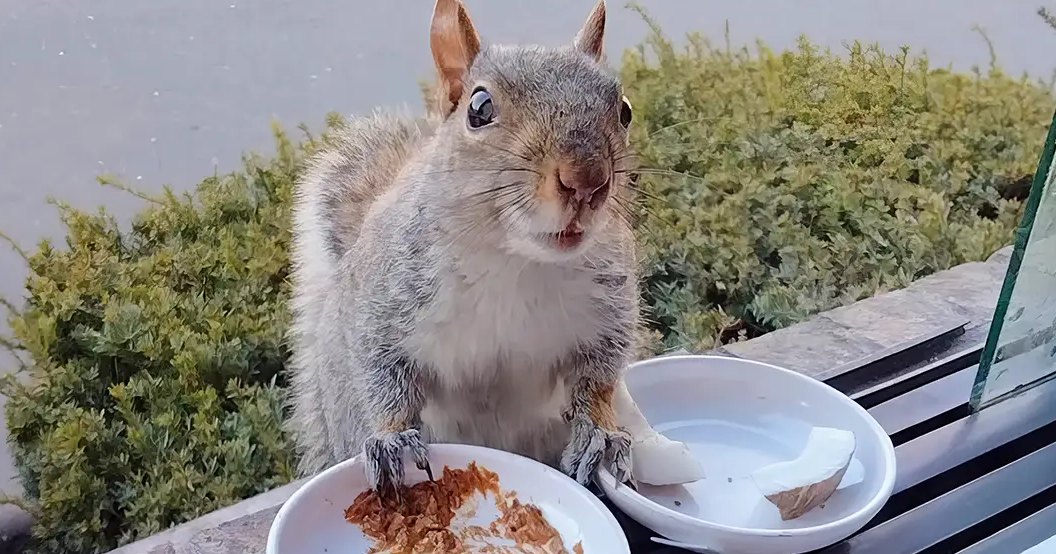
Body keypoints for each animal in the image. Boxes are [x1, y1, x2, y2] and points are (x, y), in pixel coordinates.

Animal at [287, 0, 646, 498]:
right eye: (479, 108)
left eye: (625, 111)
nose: (587, 180)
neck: (515, 260)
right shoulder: (385, 301)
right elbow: (382, 372)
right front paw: (393, 439)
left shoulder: (608, 309)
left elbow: (599, 379)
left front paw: (600, 433)